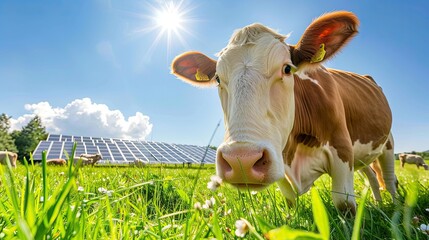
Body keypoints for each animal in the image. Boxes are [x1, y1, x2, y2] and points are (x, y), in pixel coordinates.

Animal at [170, 11, 394, 214]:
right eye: (217, 78)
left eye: (287, 69)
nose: (241, 160)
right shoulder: (280, 159)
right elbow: (290, 201)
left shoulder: (342, 149)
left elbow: (344, 204)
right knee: (373, 177)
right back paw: (378, 204)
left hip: (387, 144)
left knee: (390, 180)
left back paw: (395, 207)